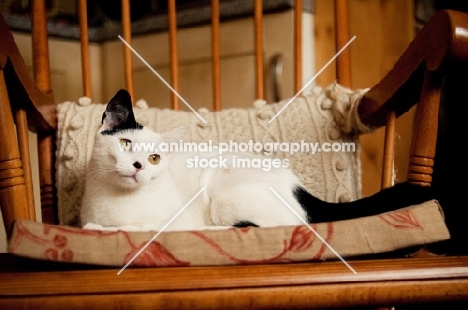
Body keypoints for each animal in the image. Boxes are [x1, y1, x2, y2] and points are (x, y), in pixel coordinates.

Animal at [80, 88, 436, 231]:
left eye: (154, 158)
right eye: (125, 143)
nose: (139, 166)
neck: (116, 201)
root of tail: (299, 188)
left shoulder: (168, 221)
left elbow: (129, 228)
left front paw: (104, 228)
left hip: (224, 197)